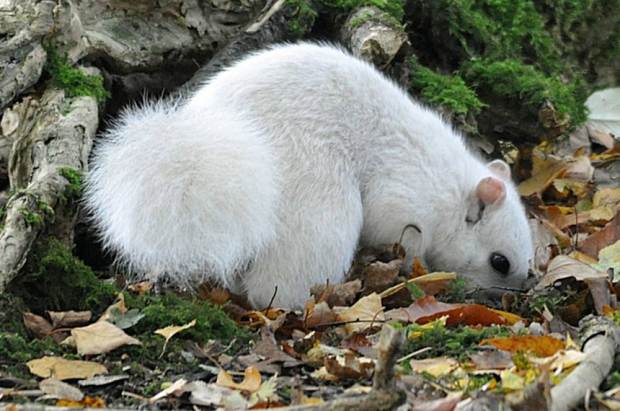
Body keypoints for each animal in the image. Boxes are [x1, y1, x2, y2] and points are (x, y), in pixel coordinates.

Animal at [85, 43, 536, 310]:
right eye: (499, 262)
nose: (518, 293)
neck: (450, 186)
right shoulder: (405, 195)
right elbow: (399, 232)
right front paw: (412, 263)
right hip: (318, 209)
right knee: (273, 287)